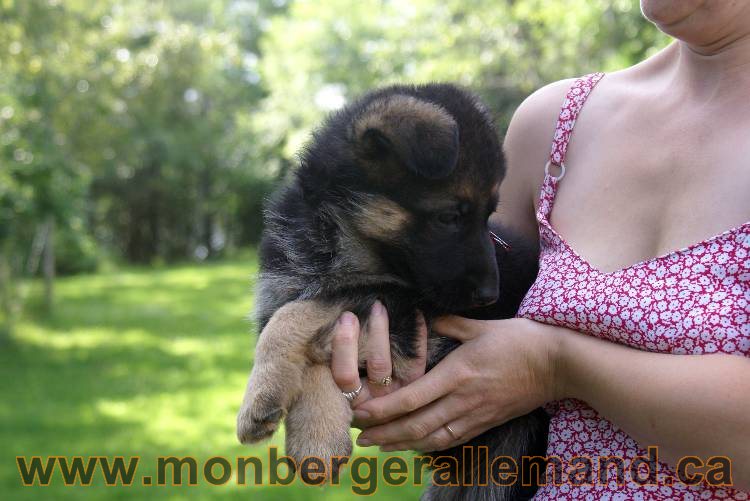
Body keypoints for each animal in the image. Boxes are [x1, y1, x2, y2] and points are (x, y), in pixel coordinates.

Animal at [238, 84, 548, 498]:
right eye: (450, 216)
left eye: (489, 216)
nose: (490, 297)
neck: (338, 245)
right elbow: (301, 321)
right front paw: (318, 437)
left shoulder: (413, 320)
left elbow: (299, 313)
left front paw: (262, 402)